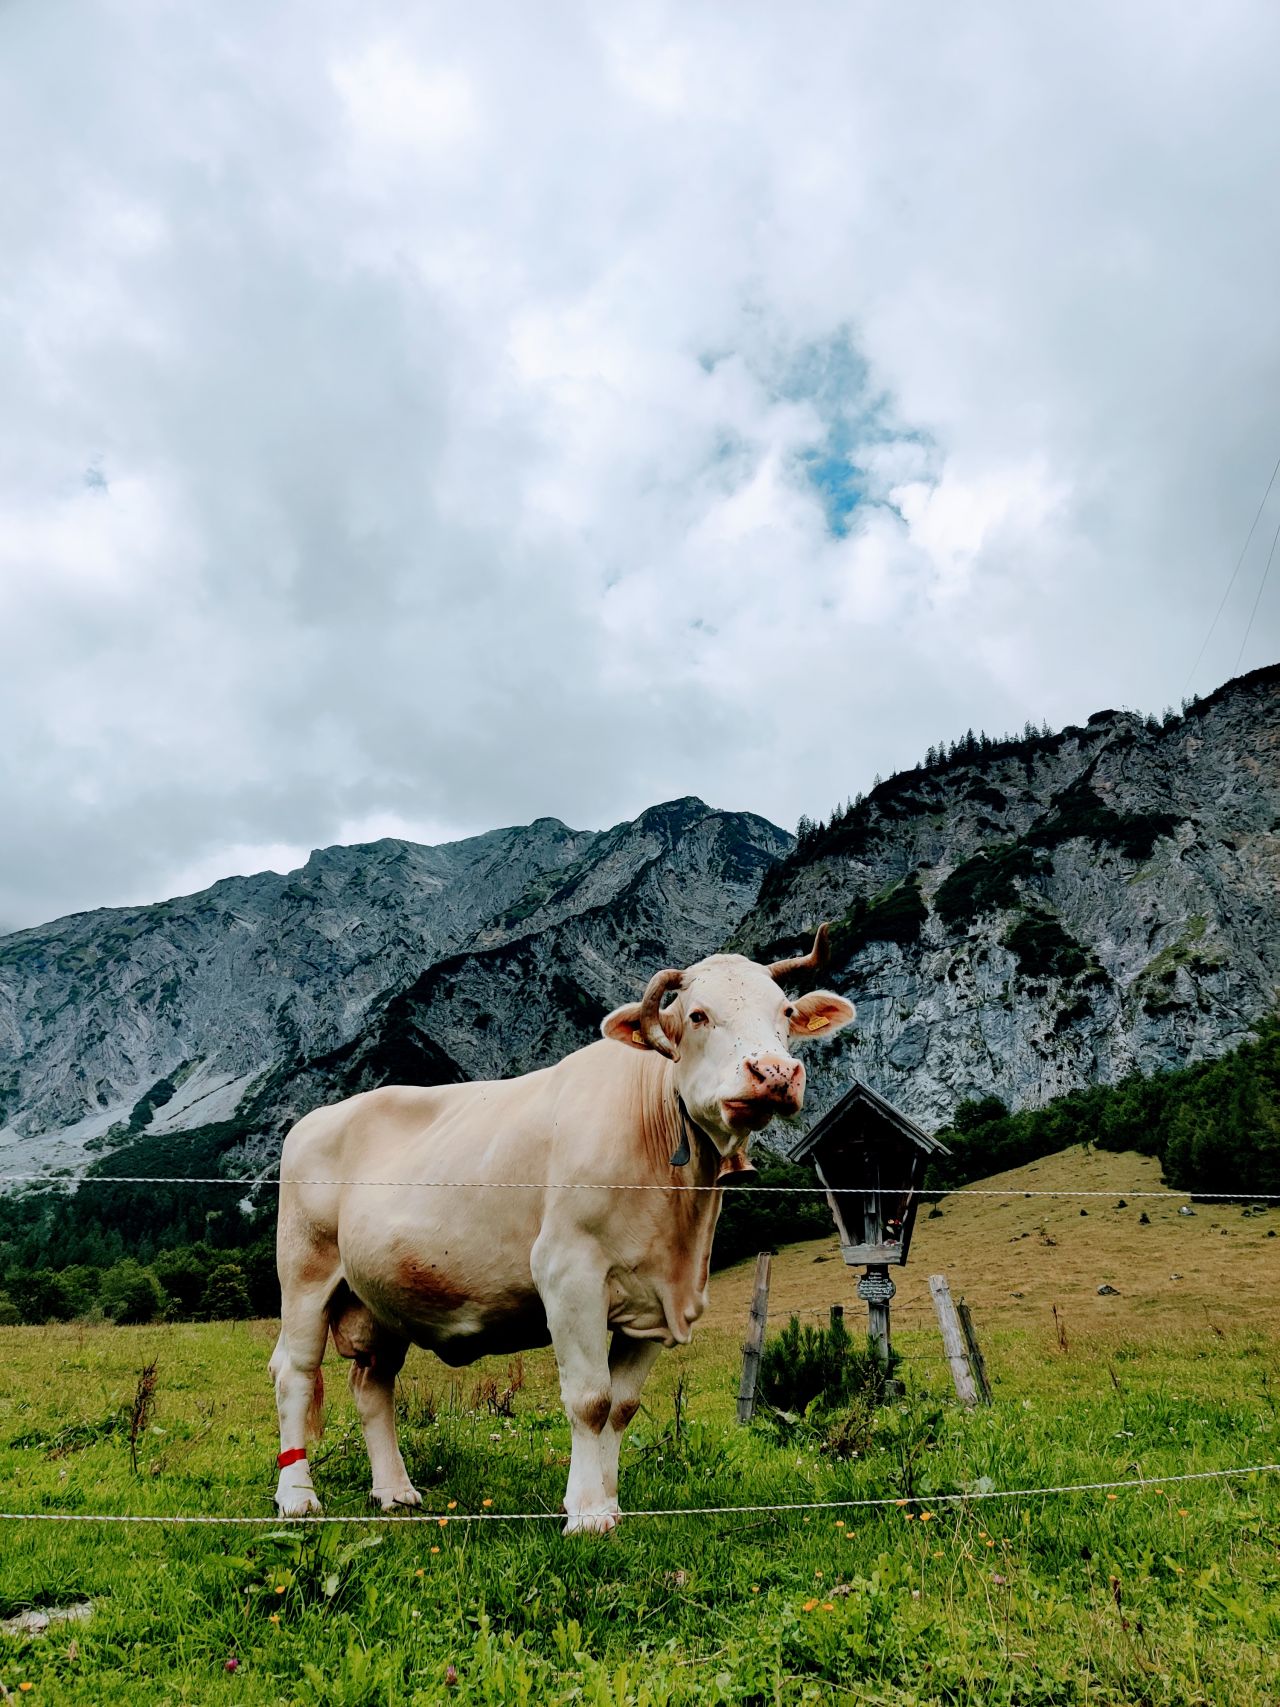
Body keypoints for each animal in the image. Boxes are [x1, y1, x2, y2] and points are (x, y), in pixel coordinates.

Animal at [271, 928, 853, 1543]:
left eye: (784, 1012)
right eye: (698, 1014)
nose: (775, 1073)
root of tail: (317, 1117)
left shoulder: (652, 1301)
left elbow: (622, 1404)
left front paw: (609, 1506)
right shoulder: (569, 1274)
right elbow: (590, 1400)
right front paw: (588, 1514)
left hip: (382, 1299)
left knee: (373, 1386)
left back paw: (395, 1492)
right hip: (306, 1274)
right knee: (294, 1373)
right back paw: (297, 1498)